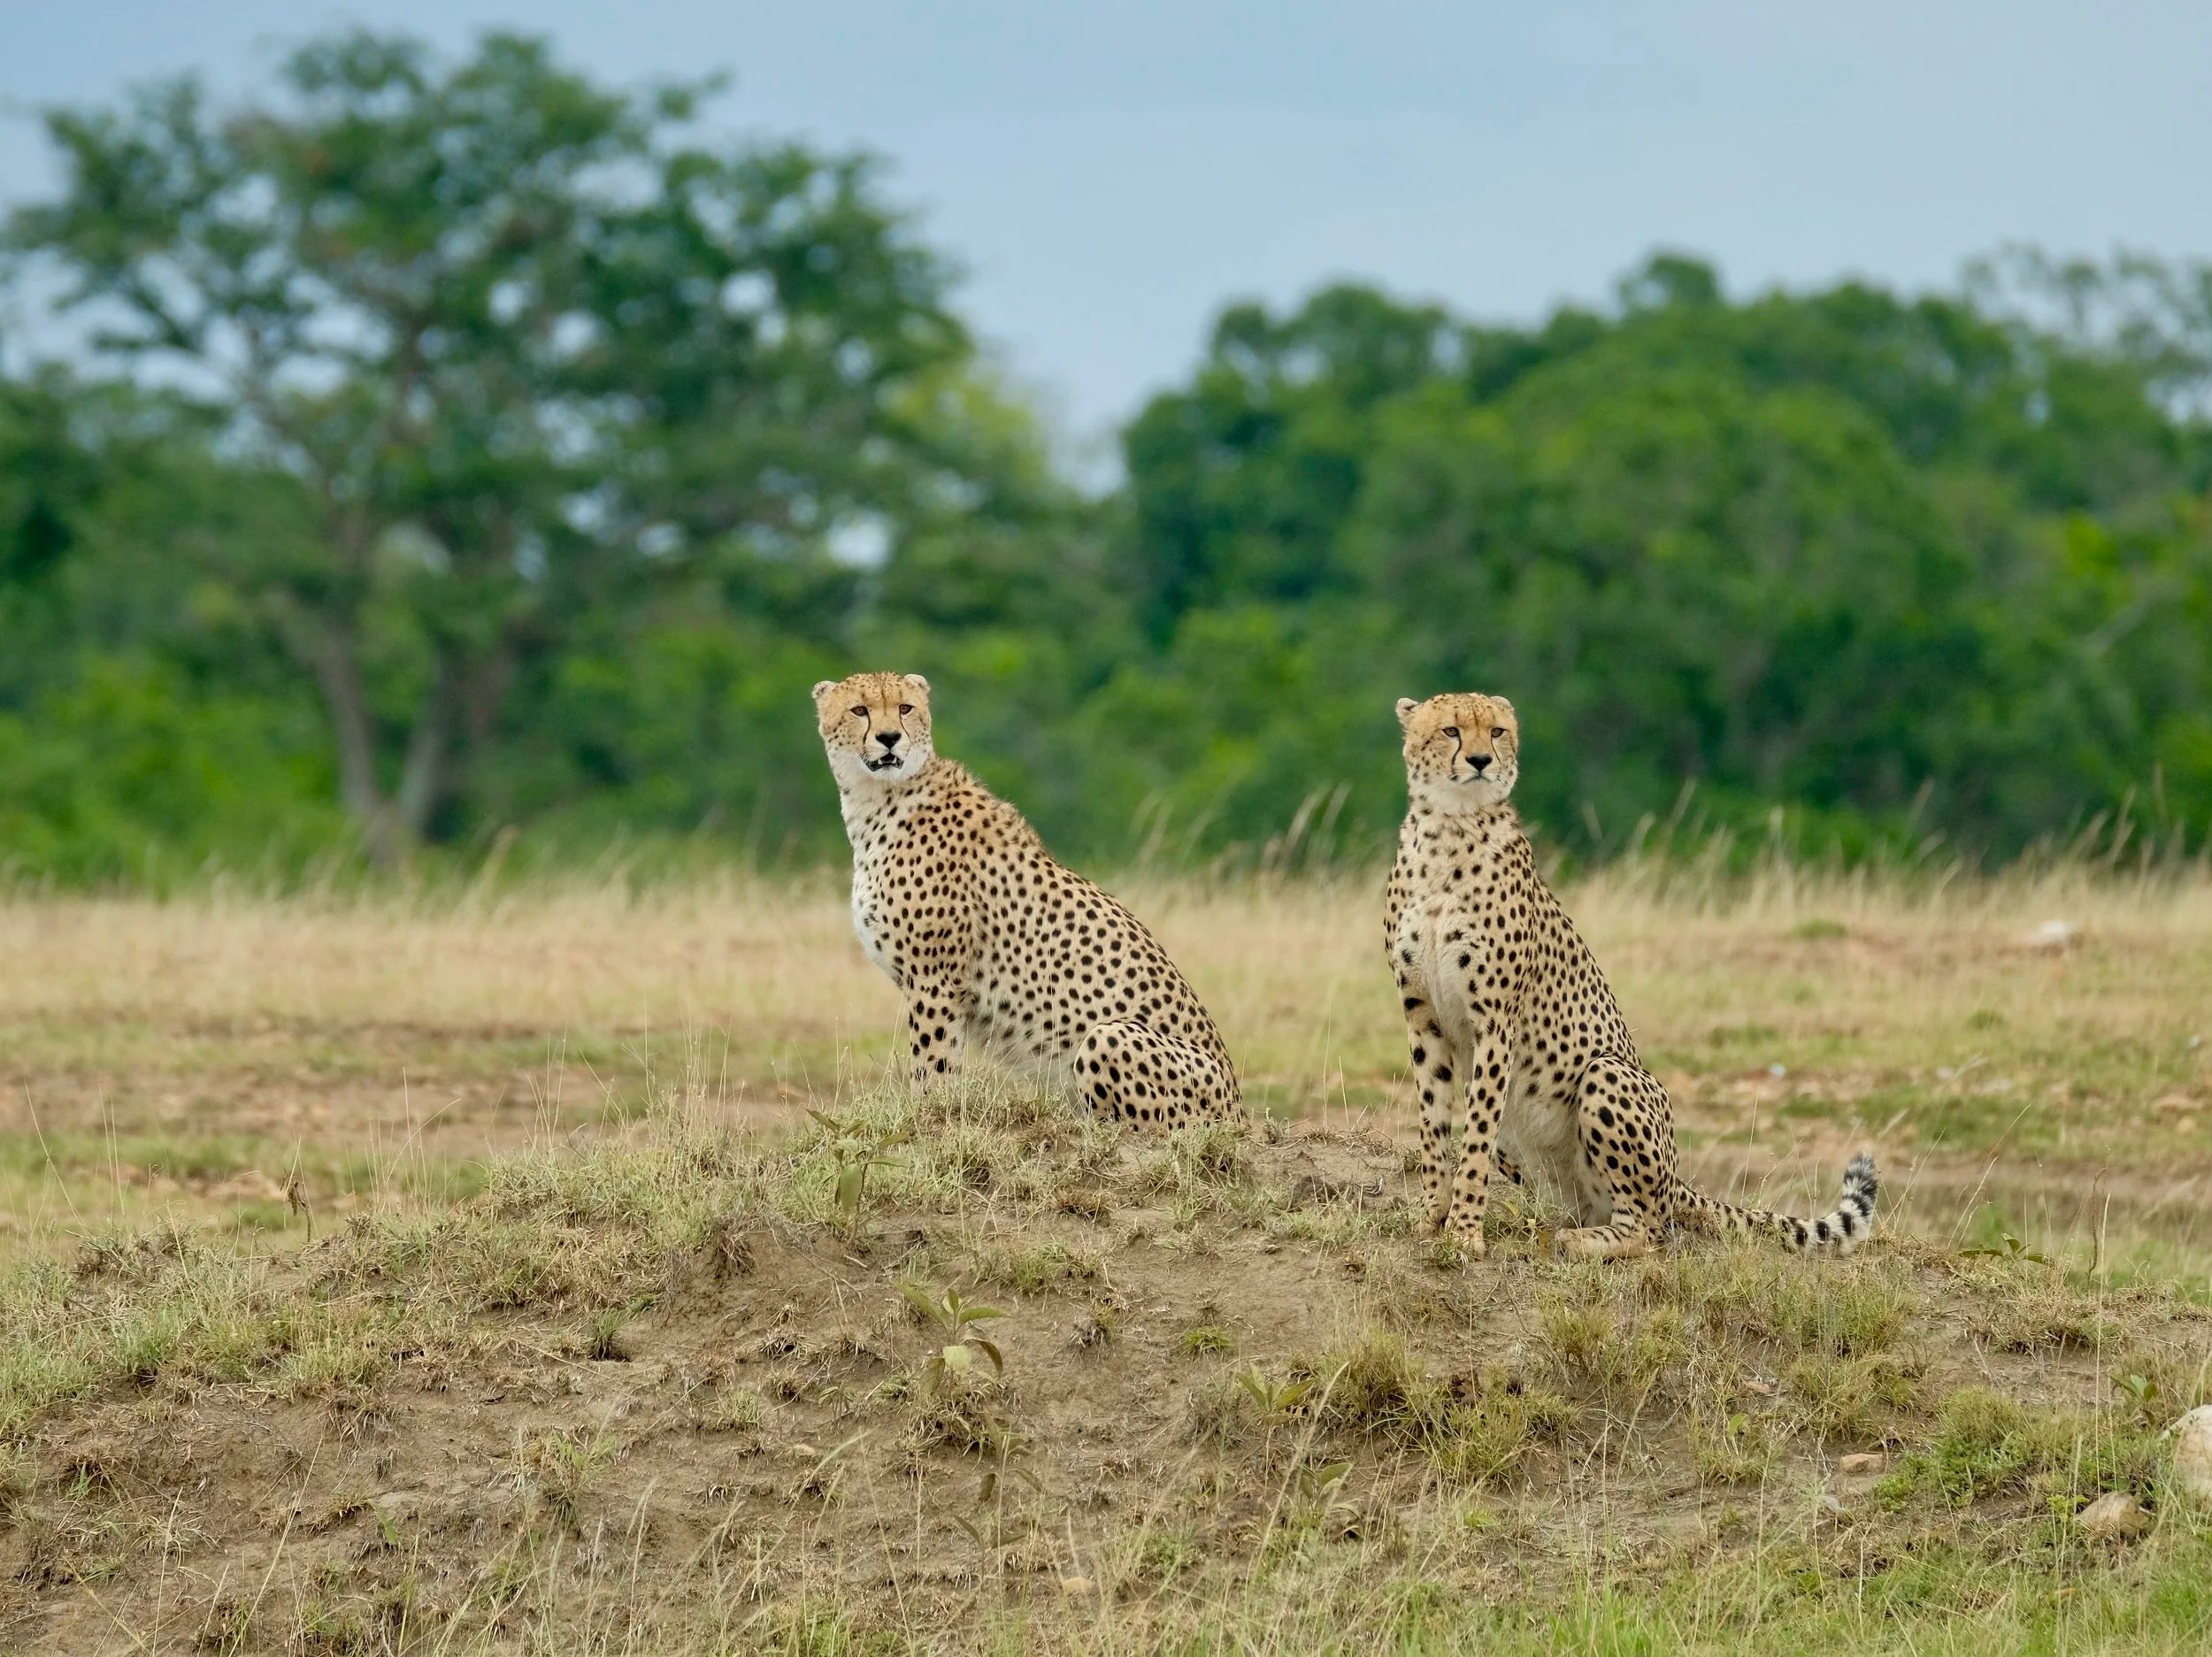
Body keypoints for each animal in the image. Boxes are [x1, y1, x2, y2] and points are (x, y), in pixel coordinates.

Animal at [813, 670, 1242, 1126]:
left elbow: (934, 1061)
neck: (879, 798)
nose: (890, 737)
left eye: (905, 708)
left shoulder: (936, 979)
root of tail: (1239, 1108)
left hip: (1109, 1035)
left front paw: (929, 1115)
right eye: (860, 710)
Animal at [1385, 690, 1877, 1261]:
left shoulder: (1494, 1022)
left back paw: (1582, 1242)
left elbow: (1475, 1139)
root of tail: (1677, 1179)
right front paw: (1431, 1216)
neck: (1449, 828)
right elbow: (1434, 1124)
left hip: (1608, 1073)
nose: (1482, 760)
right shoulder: (1422, 1018)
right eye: (1451, 731)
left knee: (1649, 1228)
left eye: (1498, 732)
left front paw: (1464, 1231)